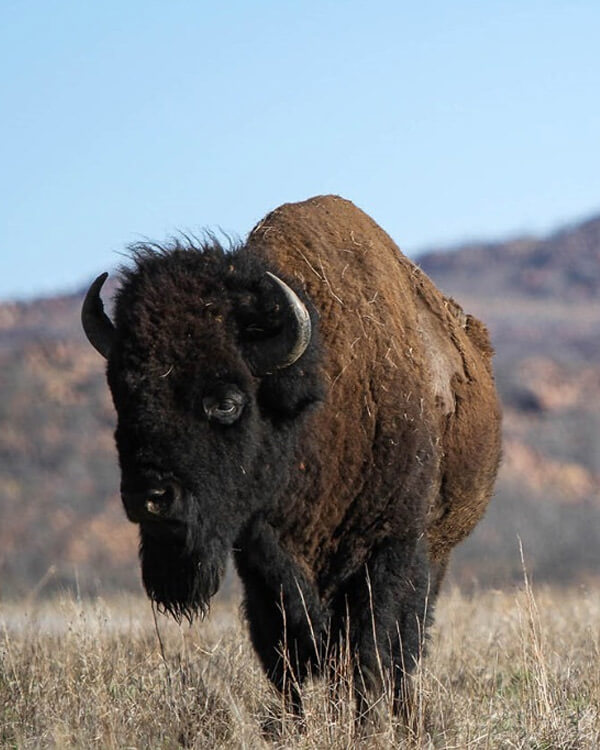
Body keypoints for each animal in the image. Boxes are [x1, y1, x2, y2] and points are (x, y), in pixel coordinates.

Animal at [81, 194, 502, 716]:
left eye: (227, 401)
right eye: (124, 393)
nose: (151, 496)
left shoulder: (390, 547)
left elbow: (370, 651)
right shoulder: (260, 559)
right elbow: (286, 657)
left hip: (435, 551)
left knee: (405, 646)